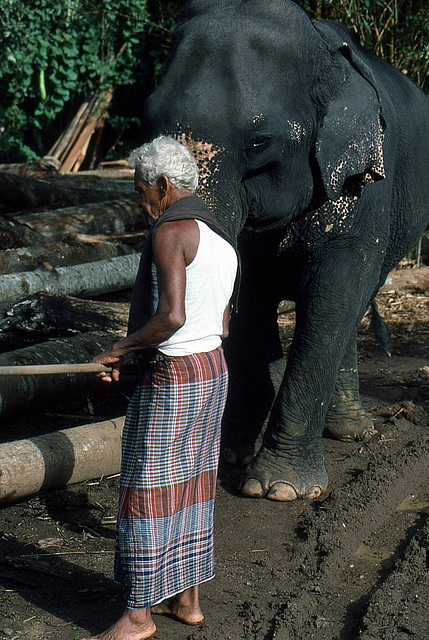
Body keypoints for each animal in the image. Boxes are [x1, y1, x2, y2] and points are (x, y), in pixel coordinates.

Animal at [145, 0, 428, 500]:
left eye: (259, 142)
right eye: (149, 118)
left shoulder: (366, 193)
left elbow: (333, 301)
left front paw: (278, 488)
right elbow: (250, 297)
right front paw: (231, 456)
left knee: (350, 305)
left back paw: (352, 432)